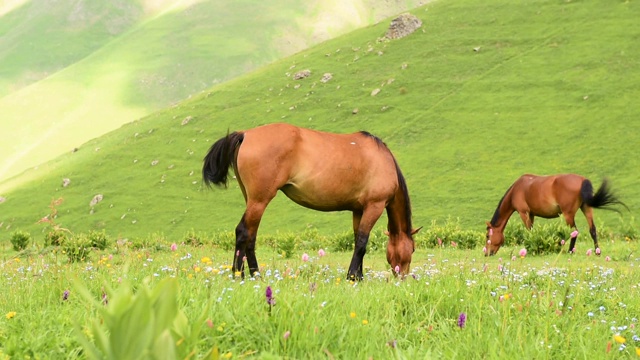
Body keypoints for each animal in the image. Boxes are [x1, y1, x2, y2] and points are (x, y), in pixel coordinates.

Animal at [201, 124, 420, 282]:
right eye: (413, 249)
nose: (403, 277)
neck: (383, 160)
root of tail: (246, 134)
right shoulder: (374, 206)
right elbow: (362, 243)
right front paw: (352, 277)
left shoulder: (359, 210)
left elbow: (358, 240)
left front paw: (358, 276)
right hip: (260, 200)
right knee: (243, 232)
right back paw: (239, 275)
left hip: (253, 200)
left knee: (251, 237)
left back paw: (256, 275)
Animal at [484, 174, 624, 256]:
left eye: (487, 236)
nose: (487, 253)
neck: (517, 189)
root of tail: (582, 180)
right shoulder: (532, 214)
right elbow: (532, 231)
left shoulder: (524, 213)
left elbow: (528, 231)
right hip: (586, 208)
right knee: (592, 230)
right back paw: (597, 251)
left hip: (568, 214)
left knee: (574, 231)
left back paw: (569, 251)